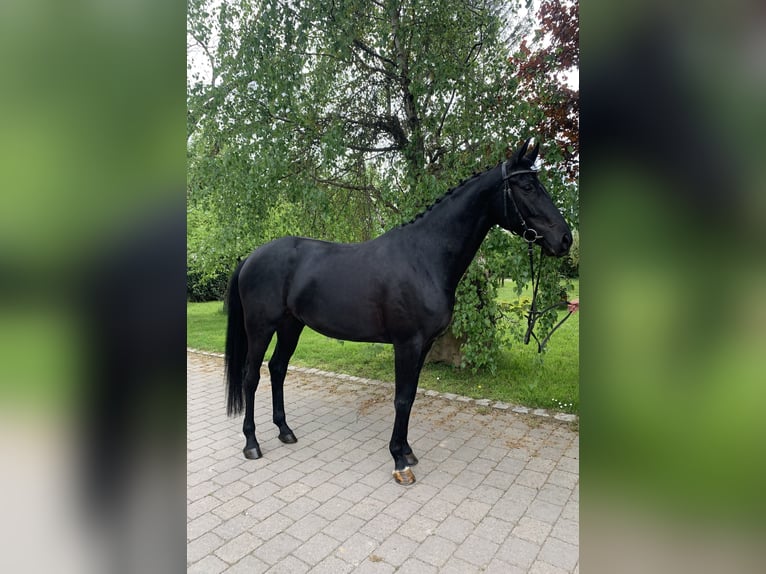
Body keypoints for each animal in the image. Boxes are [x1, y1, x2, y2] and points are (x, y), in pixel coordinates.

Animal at [224, 139, 573, 485]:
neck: (424, 257)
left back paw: (285, 431)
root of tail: (250, 257)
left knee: (278, 368)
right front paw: (399, 462)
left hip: (291, 326)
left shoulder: (424, 345)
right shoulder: (407, 343)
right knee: (251, 376)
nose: (565, 239)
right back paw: (252, 443)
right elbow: (402, 399)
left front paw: (407, 451)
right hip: (260, 328)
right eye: (527, 186)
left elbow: (412, 395)